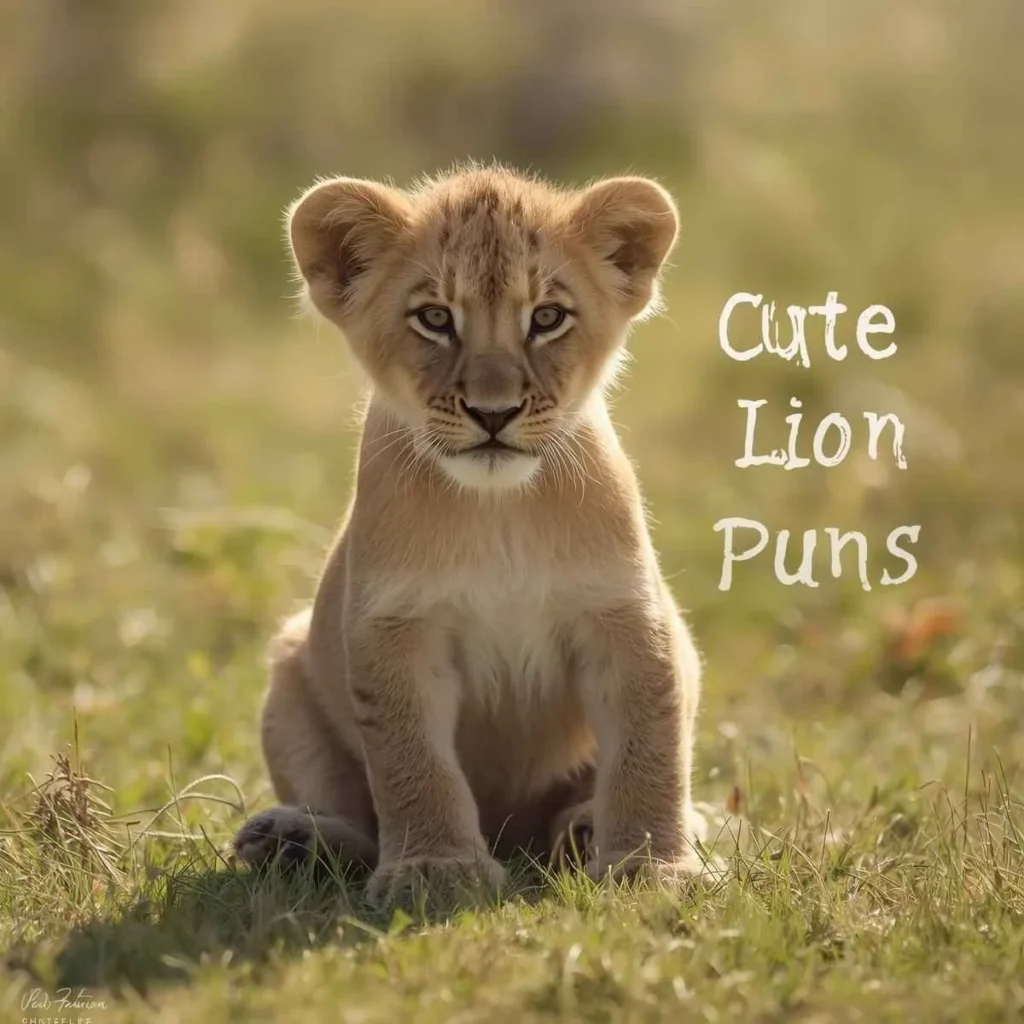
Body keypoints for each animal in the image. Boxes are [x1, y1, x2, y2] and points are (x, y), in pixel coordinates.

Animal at [232, 163, 704, 905]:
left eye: (547, 317)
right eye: (434, 318)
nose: (493, 412)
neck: (497, 510)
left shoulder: (625, 617)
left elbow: (649, 748)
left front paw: (651, 866)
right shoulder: (395, 629)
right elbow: (412, 762)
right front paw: (435, 870)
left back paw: (588, 830)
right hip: (287, 675)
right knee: (351, 812)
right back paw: (292, 840)